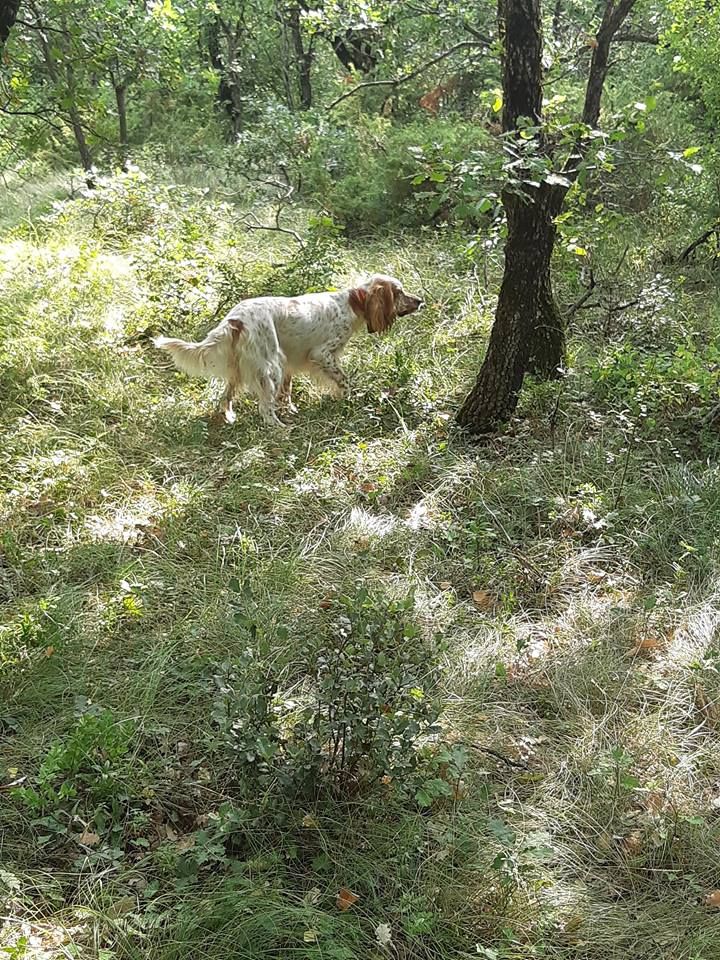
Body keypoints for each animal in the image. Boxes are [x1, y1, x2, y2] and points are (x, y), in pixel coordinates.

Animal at [152, 278, 422, 428]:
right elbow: (344, 380)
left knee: (225, 398)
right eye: (399, 292)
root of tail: (235, 319)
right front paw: (347, 399)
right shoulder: (322, 354)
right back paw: (280, 428)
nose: (420, 300)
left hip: (242, 369)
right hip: (270, 366)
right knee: (264, 409)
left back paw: (229, 417)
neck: (353, 302)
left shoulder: (291, 361)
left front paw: (291, 408)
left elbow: (287, 392)